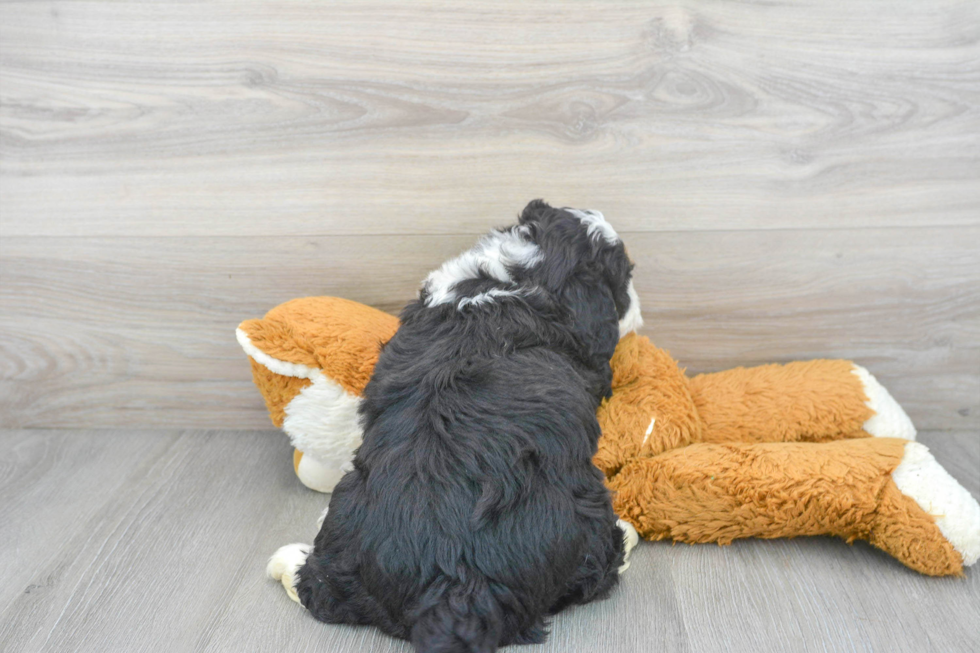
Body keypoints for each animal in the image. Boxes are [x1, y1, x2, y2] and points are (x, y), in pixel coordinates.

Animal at [270, 201, 644, 648]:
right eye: (624, 279)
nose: (638, 310)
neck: (520, 278)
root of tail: (457, 584)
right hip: (588, 514)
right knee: (598, 569)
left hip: (346, 519)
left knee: (321, 589)